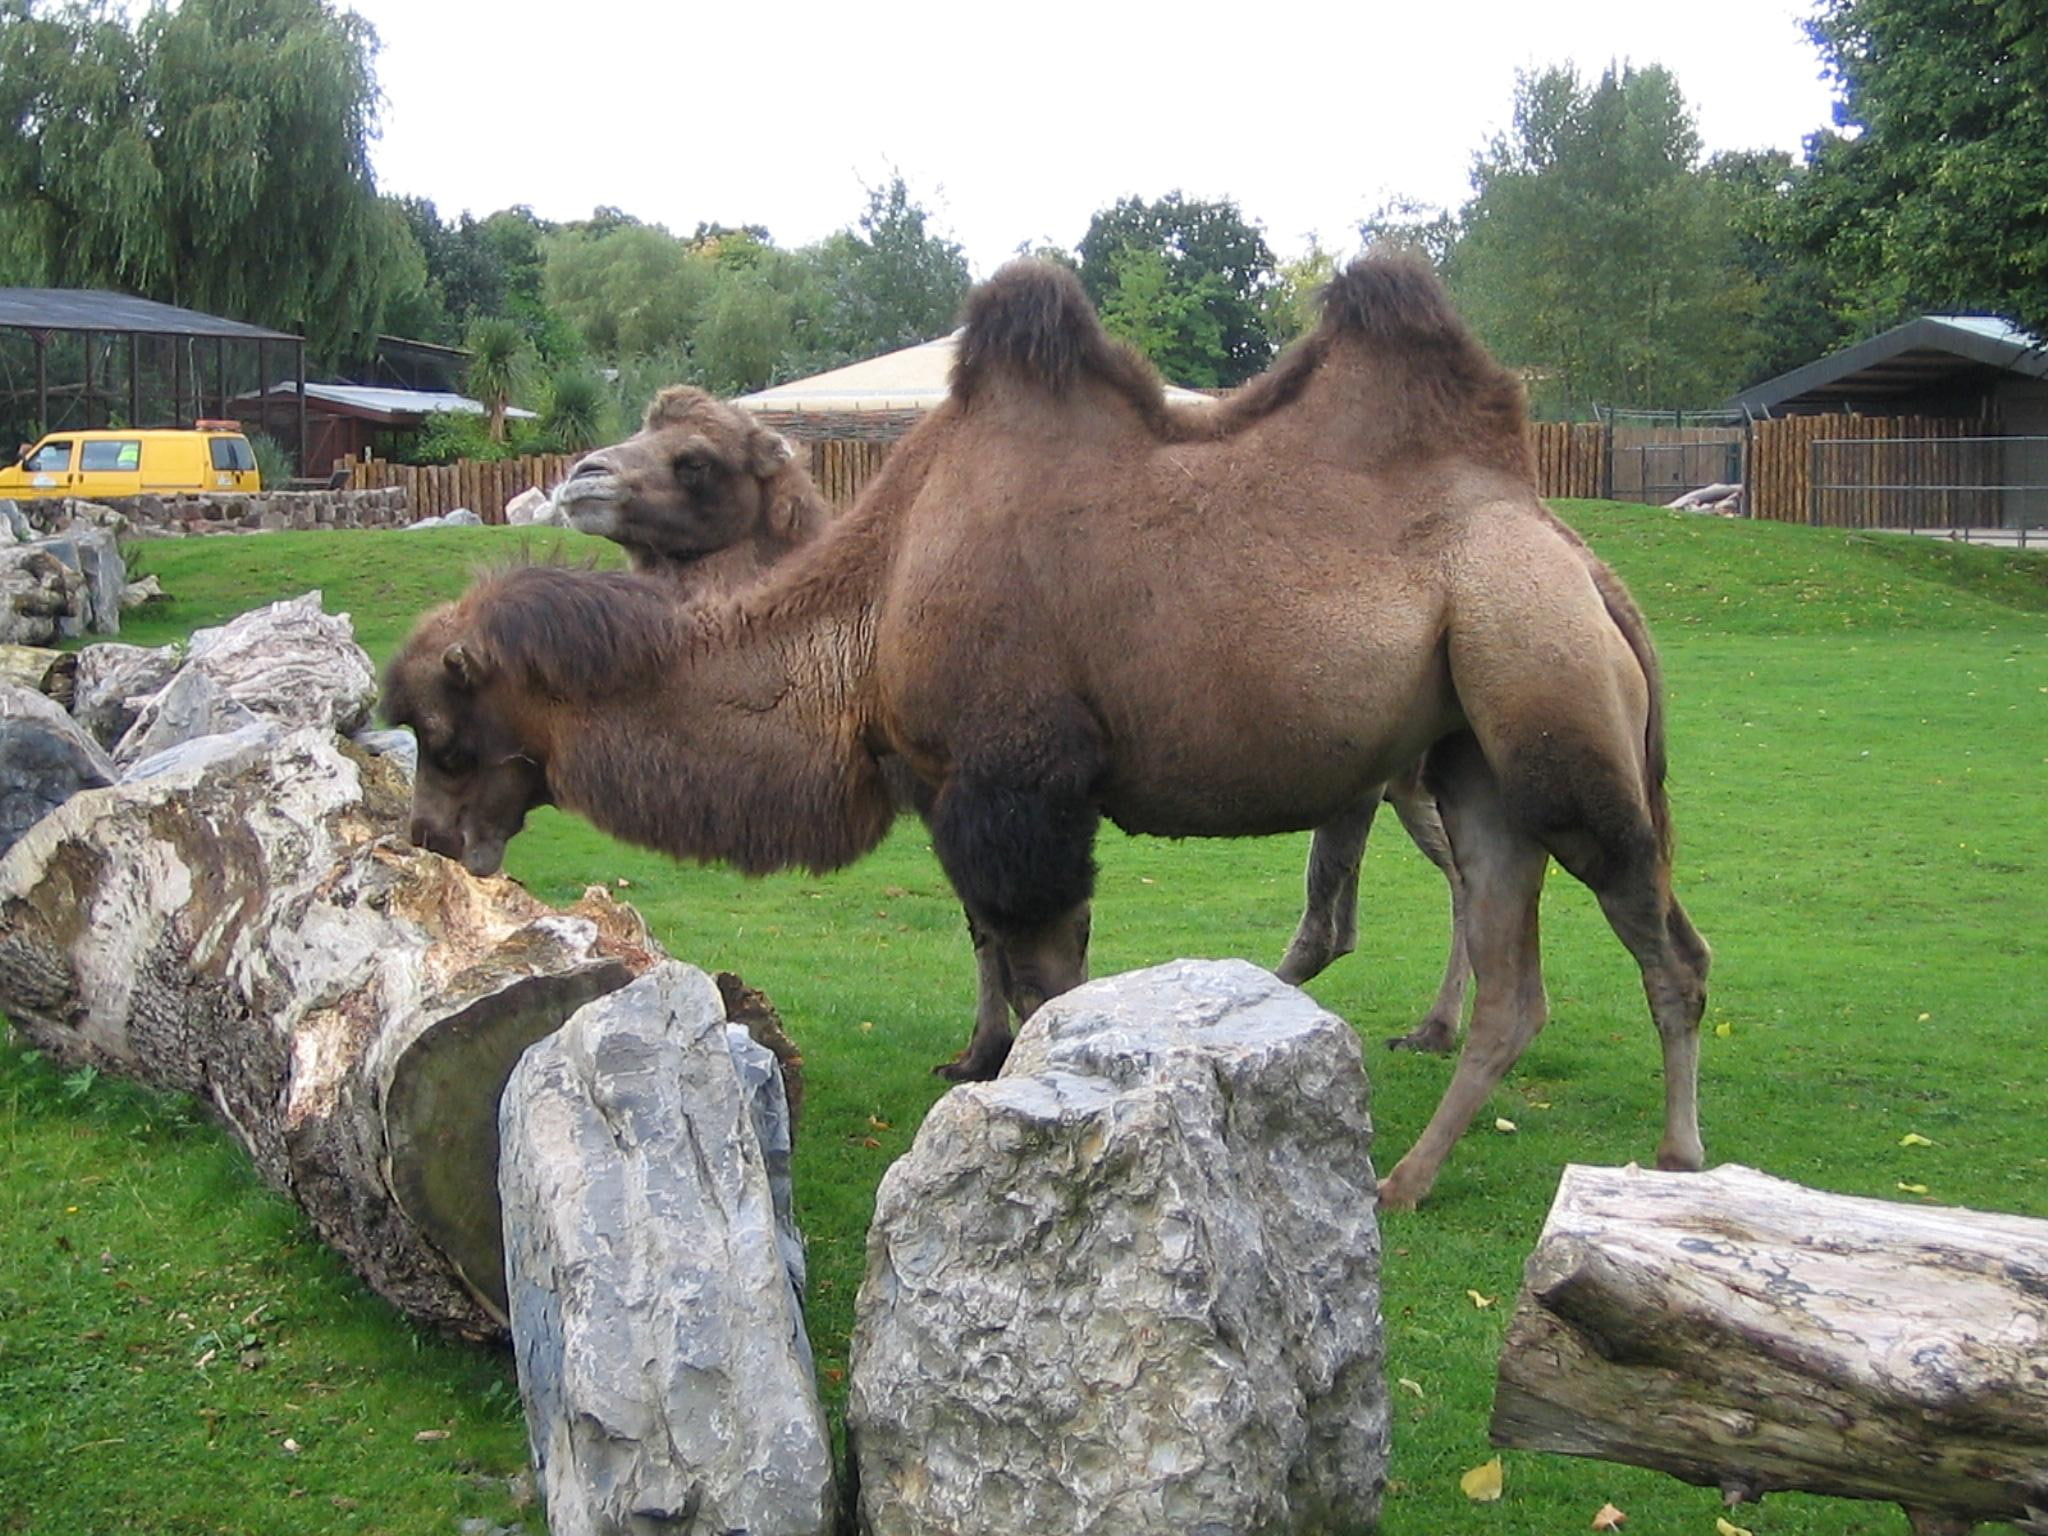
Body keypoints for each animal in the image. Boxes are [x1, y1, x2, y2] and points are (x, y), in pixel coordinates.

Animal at [548, 383, 1475, 1051]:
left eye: (695, 460)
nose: (582, 477)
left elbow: (1019, 919)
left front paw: (1012, 1048)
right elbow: (983, 922)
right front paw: (984, 1048)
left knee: (1446, 888)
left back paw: (1426, 1029)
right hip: (1395, 777)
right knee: (1370, 905)